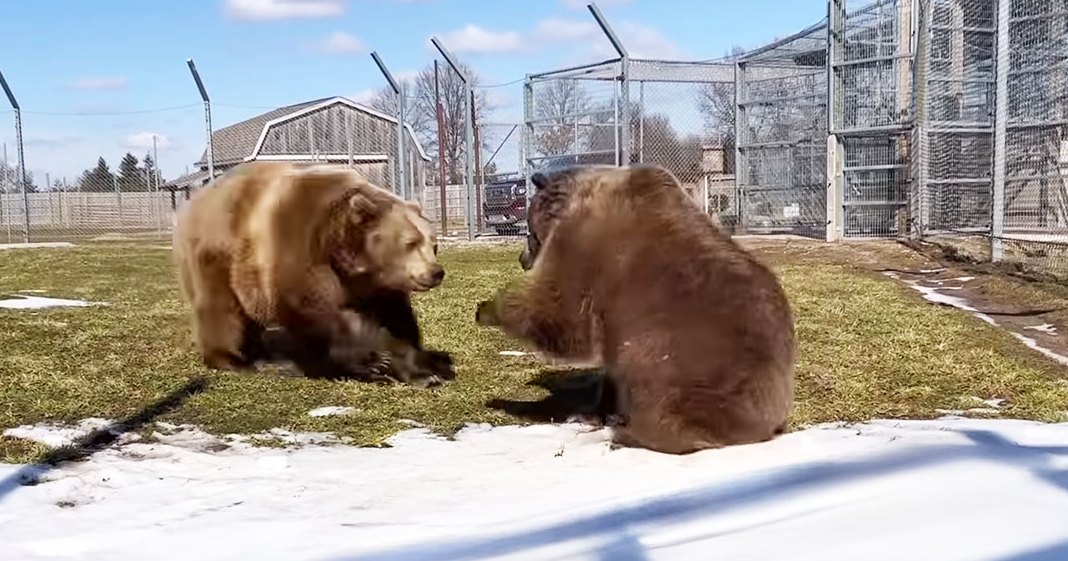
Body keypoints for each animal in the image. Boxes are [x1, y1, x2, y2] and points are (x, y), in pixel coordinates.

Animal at [173, 160, 454, 387]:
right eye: (410, 243)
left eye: (433, 244)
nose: (436, 272)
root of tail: (196, 200)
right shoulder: (303, 256)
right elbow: (322, 318)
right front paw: (377, 362)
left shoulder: (378, 288)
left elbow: (397, 321)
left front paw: (426, 367)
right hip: (219, 254)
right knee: (222, 309)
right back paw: (233, 359)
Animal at [476, 163, 796, 454]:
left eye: (529, 232)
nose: (522, 259)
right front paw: (593, 411)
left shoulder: (584, 246)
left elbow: (564, 316)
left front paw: (487, 308)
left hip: (688, 357)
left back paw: (626, 433)